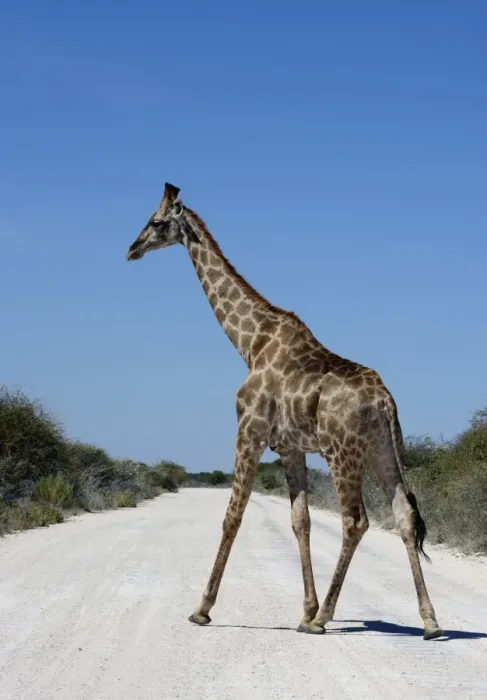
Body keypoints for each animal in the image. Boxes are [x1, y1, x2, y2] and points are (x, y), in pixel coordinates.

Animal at [126, 182, 443, 641]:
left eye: (155, 221)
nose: (132, 249)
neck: (249, 342)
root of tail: (385, 400)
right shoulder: (290, 449)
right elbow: (300, 522)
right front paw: (304, 611)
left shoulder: (249, 432)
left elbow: (233, 516)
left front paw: (202, 608)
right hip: (383, 449)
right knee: (403, 516)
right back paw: (429, 621)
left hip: (343, 452)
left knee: (356, 521)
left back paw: (327, 617)